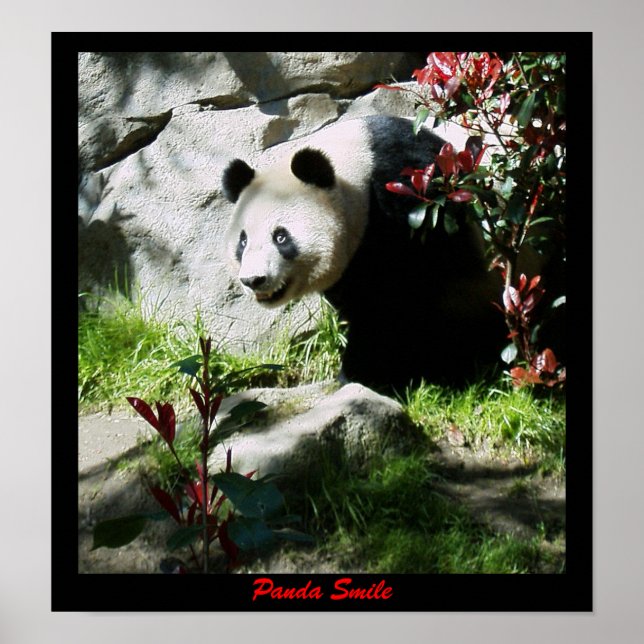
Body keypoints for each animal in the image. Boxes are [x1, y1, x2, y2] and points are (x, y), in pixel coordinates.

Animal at [222, 115, 508, 389]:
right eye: (243, 241)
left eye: (281, 237)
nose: (254, 280)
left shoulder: (411, 202)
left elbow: (400, 298)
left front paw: (368, 372)